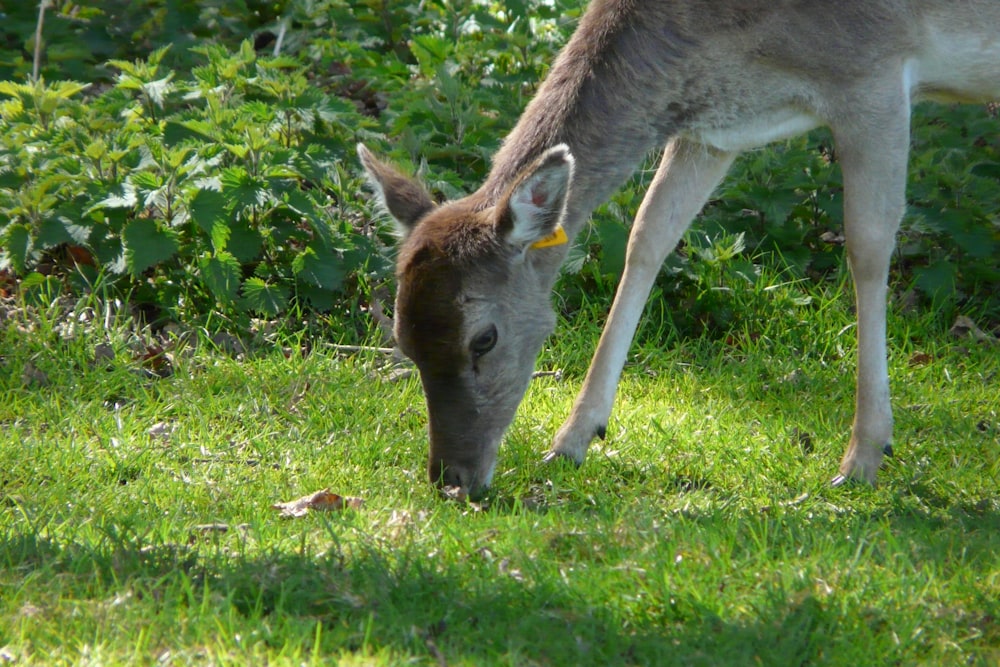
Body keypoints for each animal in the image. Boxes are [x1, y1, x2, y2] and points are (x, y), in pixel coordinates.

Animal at [360, 1, 1000, 500]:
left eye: (484, 339)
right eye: (401, 339)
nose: (452, 479)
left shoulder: (874, 70)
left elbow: (868, 247)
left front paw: (864, 456)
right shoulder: (715, 129)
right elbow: (648, 235)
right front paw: (572, 439)